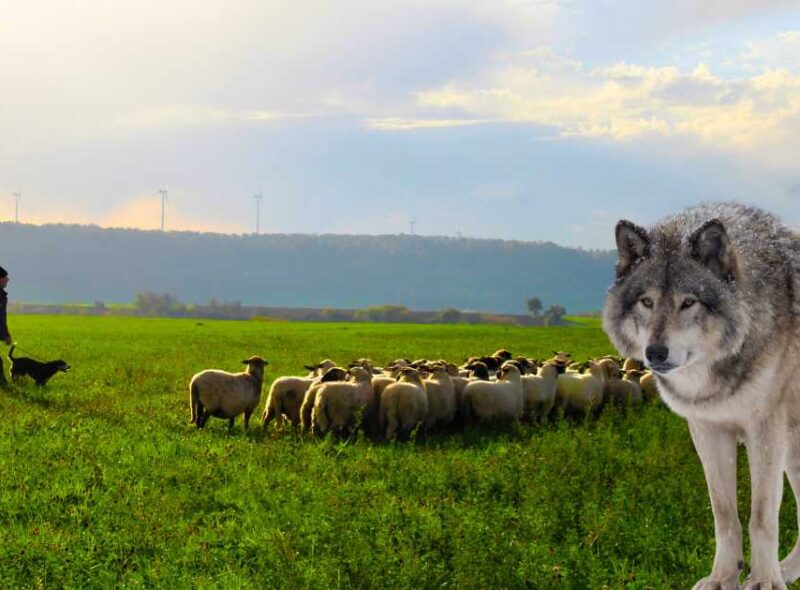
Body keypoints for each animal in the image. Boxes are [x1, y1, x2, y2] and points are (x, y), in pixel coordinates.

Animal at [602, 202, 800, 590]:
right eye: (647, 301)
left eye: (688, 302)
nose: (655, 353)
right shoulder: (708, 430)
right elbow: (724, 515)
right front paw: (724, 577)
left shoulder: (765, 432)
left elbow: (761, 517)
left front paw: (764, 581)